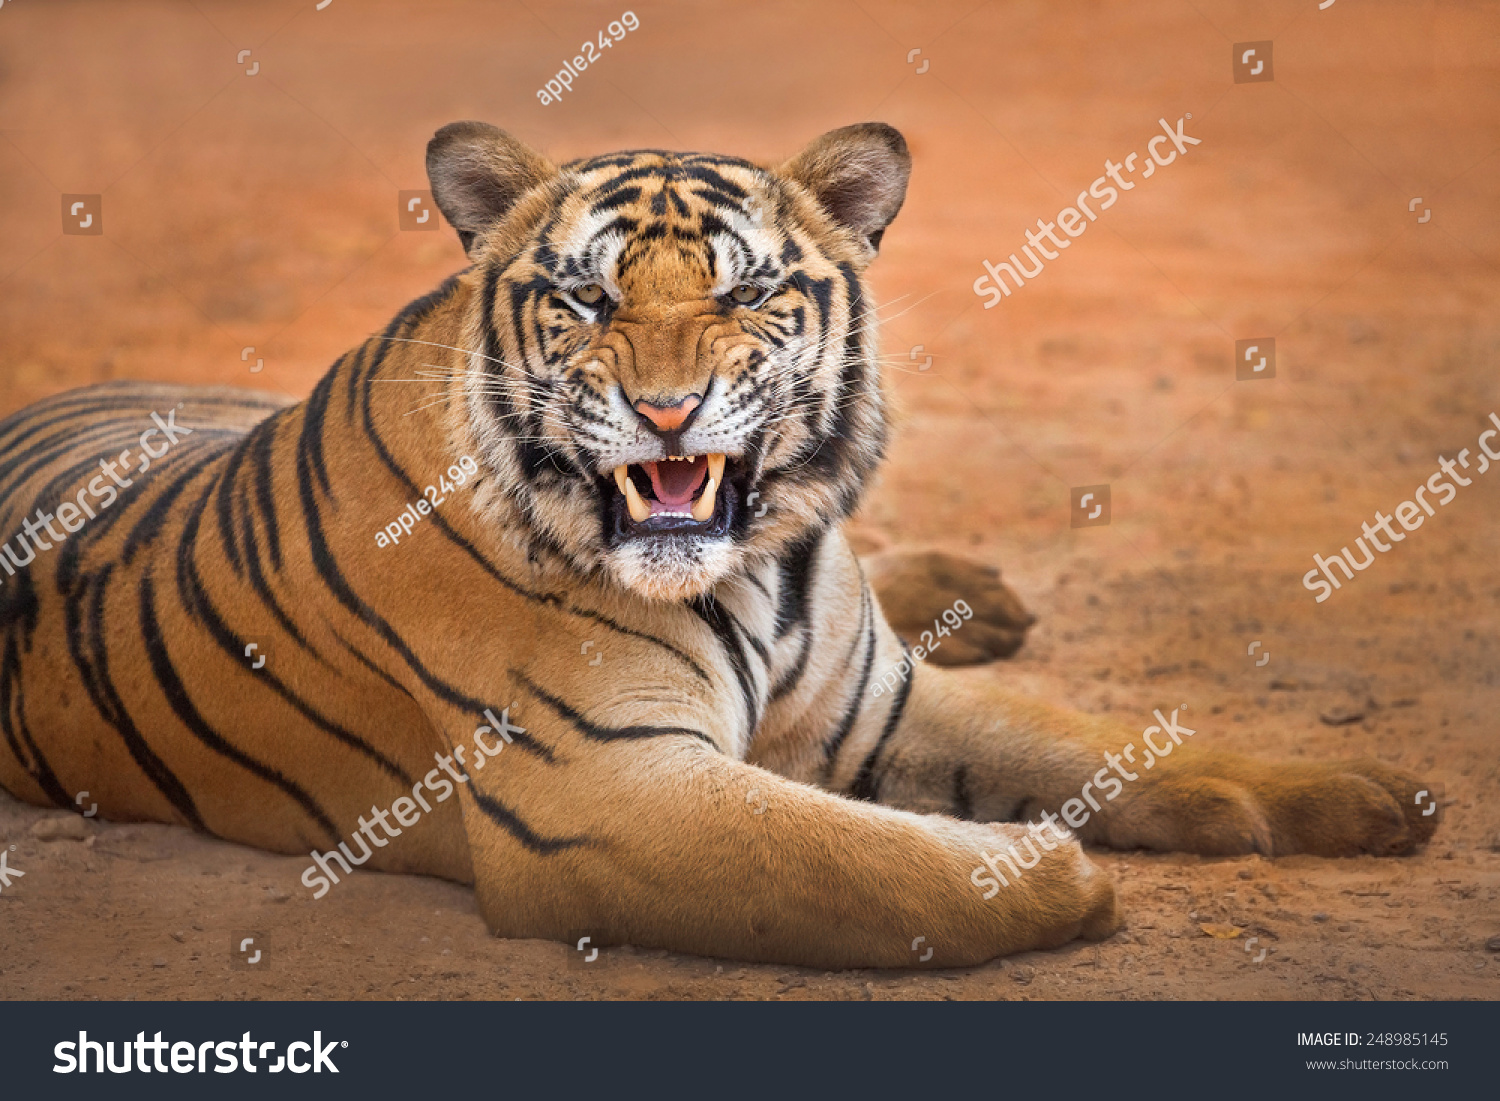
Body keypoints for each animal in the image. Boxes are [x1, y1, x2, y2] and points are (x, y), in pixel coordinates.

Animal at [0, 121, 1437, 968]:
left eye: (747, 291)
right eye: (586, 300)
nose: (667, 409)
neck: (767, 568)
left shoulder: (883, 697)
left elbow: (1091, 738)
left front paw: (1359, 795)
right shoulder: (603, 791)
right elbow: (852, 857)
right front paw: (1055, 876)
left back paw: (973, 592)